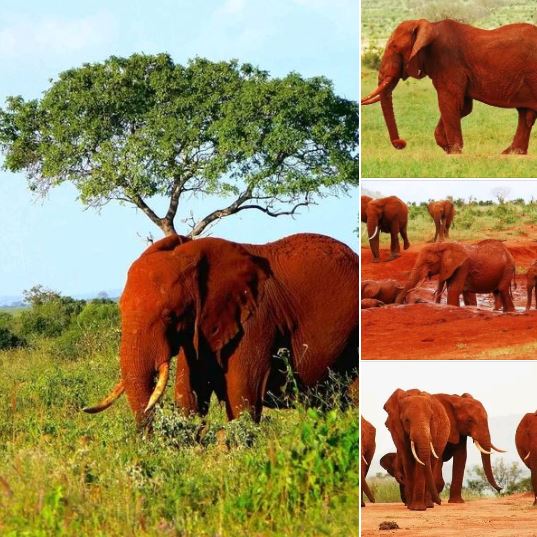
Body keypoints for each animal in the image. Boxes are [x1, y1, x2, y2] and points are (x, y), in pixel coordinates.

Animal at [360, 18, 537, 153]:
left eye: (395, 48)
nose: (402, 143)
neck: (430, 26)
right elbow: (462, 107)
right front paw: (449, 149)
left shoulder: (449, 63)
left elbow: (449, 103)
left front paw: (455, 152)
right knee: (525, 115)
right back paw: (511, 154)